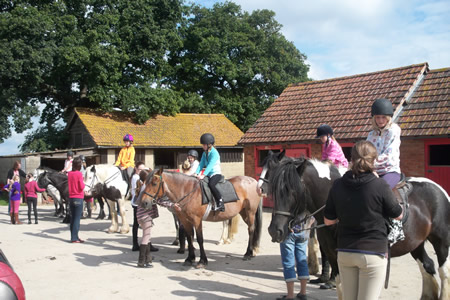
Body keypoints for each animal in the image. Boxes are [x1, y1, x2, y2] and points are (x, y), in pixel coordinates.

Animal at [264, 154, 450, 300]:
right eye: (274, 190)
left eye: (293, 191)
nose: (274, 231)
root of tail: (439, 190)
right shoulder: (333, 254)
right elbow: (342, 287)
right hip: (416, 243)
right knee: (427, 266)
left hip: (441, 242)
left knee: (443, 271)